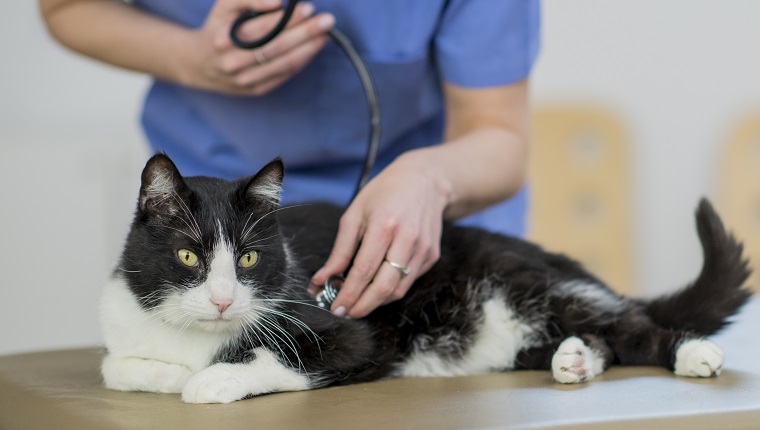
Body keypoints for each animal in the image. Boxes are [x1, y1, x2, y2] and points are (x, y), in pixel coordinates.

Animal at [101, 155, 756, 404]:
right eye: (189, 257)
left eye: (249, 262)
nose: (221, 300)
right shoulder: (125, 326)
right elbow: (119, 368)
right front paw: (177, 372)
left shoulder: (349, 333)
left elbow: (280, 359)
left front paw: (213, 379)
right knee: (596, 337)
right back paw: (573, 359)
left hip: (523, 282)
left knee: (631, 326)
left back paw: (692, 353)